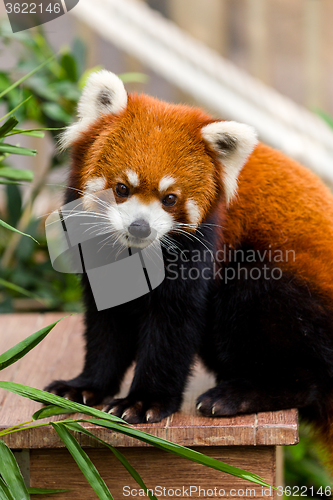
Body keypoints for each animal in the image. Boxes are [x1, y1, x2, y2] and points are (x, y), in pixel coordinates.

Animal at [46, 69, 333, 450]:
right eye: (122, 188)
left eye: (170, 198)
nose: (140, 228)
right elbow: (106, 325)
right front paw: (85, 387)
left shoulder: (201, 244)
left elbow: (173, 324)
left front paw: (144, 401)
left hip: (284, 283)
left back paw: (239, 394)